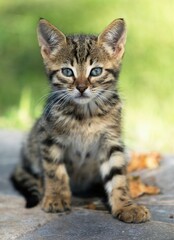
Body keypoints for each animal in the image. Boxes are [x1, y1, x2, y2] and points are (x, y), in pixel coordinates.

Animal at [10, 18, 150, 223]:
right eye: (68, 72)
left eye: (96, 71)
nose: (82, 87)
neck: (86, 115)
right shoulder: (48, 137)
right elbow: (55, 171)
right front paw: (57, 197)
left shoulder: (111, 140)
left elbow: (117, 175)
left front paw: (126, 206)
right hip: (31, 143)